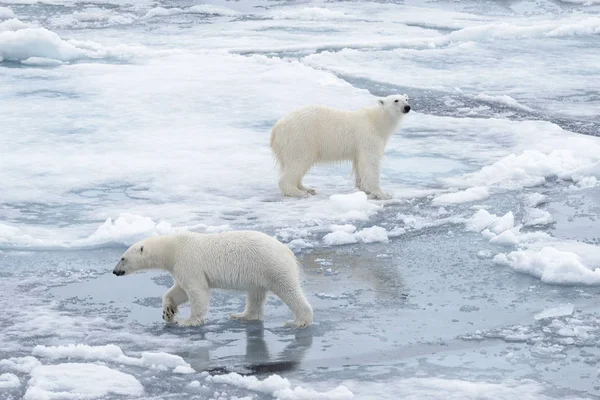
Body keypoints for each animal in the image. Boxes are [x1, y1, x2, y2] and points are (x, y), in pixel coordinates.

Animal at [114, 231, 316, 328]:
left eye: (123, 258)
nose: (115, 271)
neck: (172, 248)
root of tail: (288, 250)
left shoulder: (188, 260)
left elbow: (197, 290)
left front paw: (188, 321)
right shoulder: (179, 266)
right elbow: (179, 291)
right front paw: (168, 313)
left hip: (271, 265)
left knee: (288, 289)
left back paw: (299, 321)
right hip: (258, 273)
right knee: (256, 295)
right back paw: (242, 315)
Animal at [270, 94, 410, 200]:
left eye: (407, 99)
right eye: (396, 100)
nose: (407, 107)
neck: (376, 121)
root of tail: (276, 128)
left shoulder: (360, 145)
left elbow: (359, 163)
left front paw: (363, 188)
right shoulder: (368, 136)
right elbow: (371, 163)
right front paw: (384, 194)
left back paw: (307, 188)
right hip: (301, 139)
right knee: (298, 162)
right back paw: (298, 192)